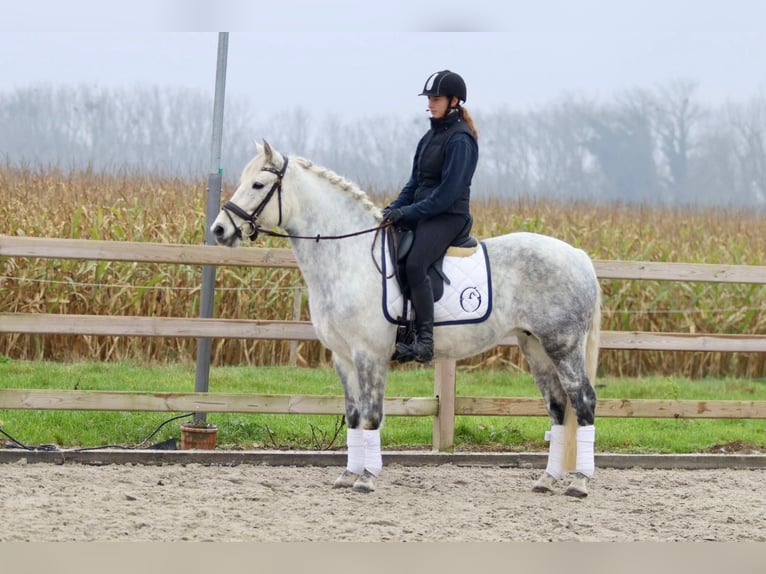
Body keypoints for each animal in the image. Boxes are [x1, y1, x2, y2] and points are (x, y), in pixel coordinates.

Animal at [213, 141, 604, 500]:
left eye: (258, 185)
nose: (219, 230)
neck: (348, 257)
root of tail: (577, 255)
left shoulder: (369, 355)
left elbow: (372, 415)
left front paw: (367, 478)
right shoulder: (343, 357)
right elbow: (353, 415)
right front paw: (348, 475)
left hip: (563, 345)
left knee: (583, 402)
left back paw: (580, 484)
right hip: (534, 345)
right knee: (557, 406)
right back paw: (547, 480)